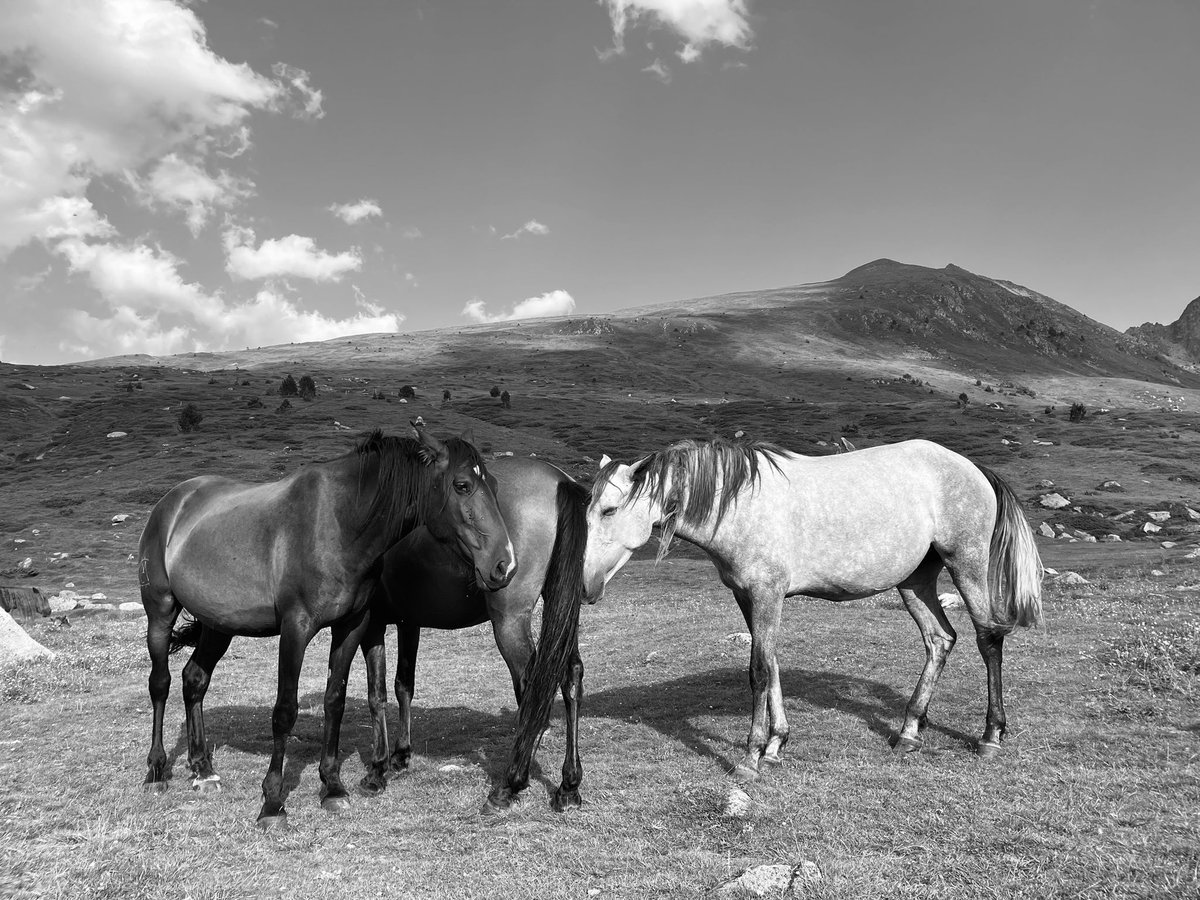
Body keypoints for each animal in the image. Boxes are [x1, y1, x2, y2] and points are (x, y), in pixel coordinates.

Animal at [138, 428, 516, 828]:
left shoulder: (351, 626)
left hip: (218, 624)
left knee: (195, 679)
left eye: (492, 484)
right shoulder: (296, 629)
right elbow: (284, 711)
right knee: (160, 683)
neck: (340, 523)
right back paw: (157, 771)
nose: (504, 564)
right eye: (462, 485)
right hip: (160, 612)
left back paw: (203, 769)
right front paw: (272, 802)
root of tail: (173, 501)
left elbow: (335, 700)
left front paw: (332, 787)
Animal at [335, 456, 589, 812]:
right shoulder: (408, 622)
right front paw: (400, 756)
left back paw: (510, 783)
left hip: (509, 622)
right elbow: (403, 686)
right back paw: (568, 786)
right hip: (562, 609)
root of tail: (559, 480)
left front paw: (377, 770)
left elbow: (377, 694)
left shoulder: (372, 623)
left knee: (534, 687)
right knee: (570, 677)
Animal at [583, 437, 1043, 782]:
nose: (586, 588)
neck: (738, 505)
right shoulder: (748, 597)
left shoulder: (766, 594)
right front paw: (775, 744)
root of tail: (972, 467)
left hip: (965, 564)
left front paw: (751, 757)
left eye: (609, 509)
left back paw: (990, 735)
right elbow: (771, 664)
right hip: (916, 580)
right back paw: (909, 731)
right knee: (939, 640)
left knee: (988, 638)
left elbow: (758, 671)